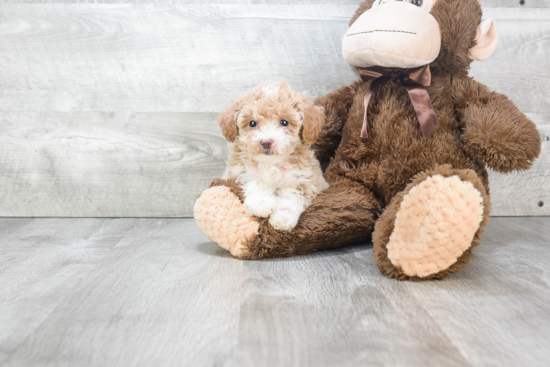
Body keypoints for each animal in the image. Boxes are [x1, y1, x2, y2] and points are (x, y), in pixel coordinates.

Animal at [218, 81, 330, 231]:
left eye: (284, 122)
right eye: (252, 123)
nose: (266, 141)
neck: (270, 163)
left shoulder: (301, 179)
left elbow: (291, 198)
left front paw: (283, 218)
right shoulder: (240, 173)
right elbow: (254, 184)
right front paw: (262, 205)